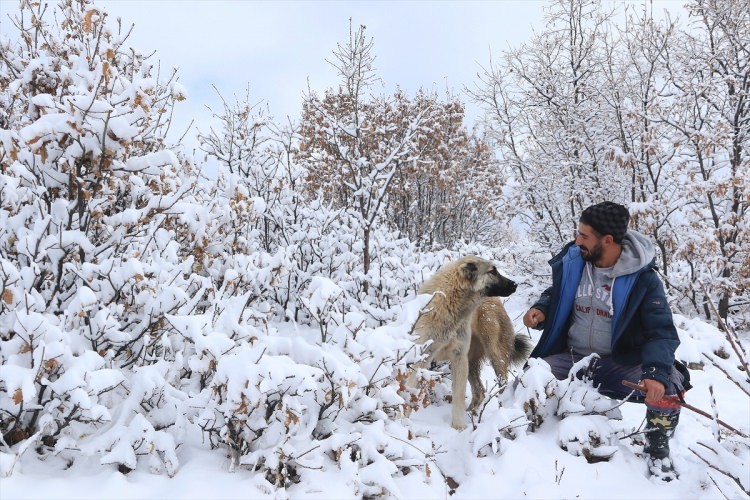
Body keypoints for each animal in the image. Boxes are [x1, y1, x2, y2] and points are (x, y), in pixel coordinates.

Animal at [412, 256, 536, 432]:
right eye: (492, 271)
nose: (514, 284)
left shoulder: (459, 358)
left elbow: (458, 396)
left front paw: (458, 426)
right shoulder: (422, 356)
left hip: (495, 357)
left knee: (499, 387)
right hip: (471, 362)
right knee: (480, 391)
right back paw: (472, 413)